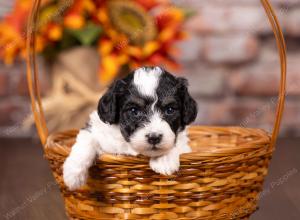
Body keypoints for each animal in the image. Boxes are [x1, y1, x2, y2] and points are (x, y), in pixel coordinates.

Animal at [62, 66, 197, 190]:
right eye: (133, 111)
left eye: (169, 110)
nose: (154, 137)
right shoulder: (96, 128)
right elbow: (86, 142)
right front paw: (73, 175)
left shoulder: (184, 146)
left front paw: (164, 159)